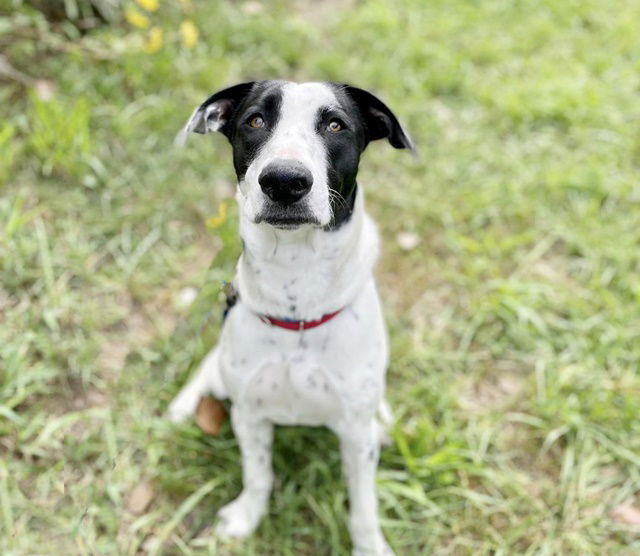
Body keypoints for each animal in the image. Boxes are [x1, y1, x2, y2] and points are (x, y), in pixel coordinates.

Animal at [168, 80, 412, 552]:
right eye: (255, 120)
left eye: (335, 124)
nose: (284, 180)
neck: (296, 302)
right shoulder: (249, 415)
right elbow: (258, 475)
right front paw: (246, 517)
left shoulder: (356, 435)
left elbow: (364, 505)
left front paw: (370, 545)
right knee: (208, 369)